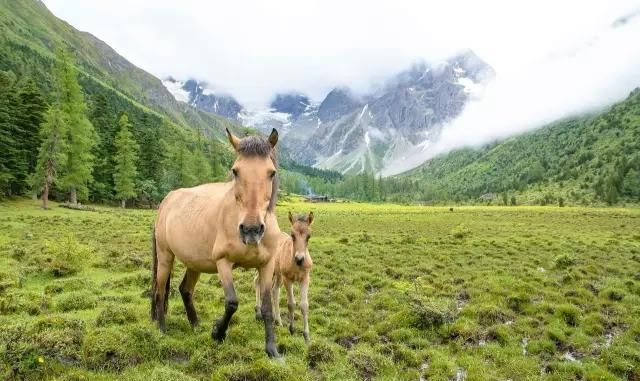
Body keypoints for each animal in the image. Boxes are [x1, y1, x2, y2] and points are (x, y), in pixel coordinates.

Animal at [151, 127, 282, 356]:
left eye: (271, 172)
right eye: (235, 171)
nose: (251, 230)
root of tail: (166, 201)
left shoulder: (267, 265)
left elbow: (266, 308)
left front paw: (272, 351)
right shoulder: (223, 262)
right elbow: (231, 303)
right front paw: (217, 333)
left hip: (194, 263)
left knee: (185, 289)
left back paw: (196, 326)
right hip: (165, 256)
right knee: (160, 290)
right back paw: (162, 329)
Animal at [255, 211, 316, 342]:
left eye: (309, 236)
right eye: (292, 235)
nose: (299, 259)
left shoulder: (305, 278)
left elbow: (304, 305)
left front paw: (306, 335)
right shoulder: (288, 279)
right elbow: (291, 303)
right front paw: (292, 329)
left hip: (277, 274)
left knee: (274, 290)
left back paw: (277, 320)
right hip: (265, 269)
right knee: (257, 282)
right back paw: (258, 312)